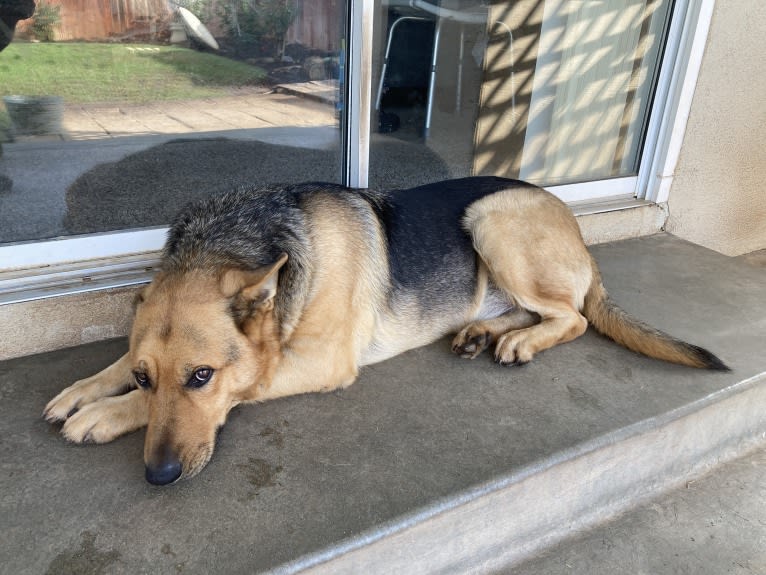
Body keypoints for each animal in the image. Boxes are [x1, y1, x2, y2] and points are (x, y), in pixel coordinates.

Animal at [43, 177, 732, 486]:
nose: (159, 475)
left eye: (202, 376)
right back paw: (483, 333)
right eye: (144, 375)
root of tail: (573, 223)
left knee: (576, 317)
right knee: (533, 311)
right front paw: (84, 391)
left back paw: (518, 340)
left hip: (492, 219)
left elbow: (248, 381)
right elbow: (111, 367)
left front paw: (102, 416)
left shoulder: (314, 362)